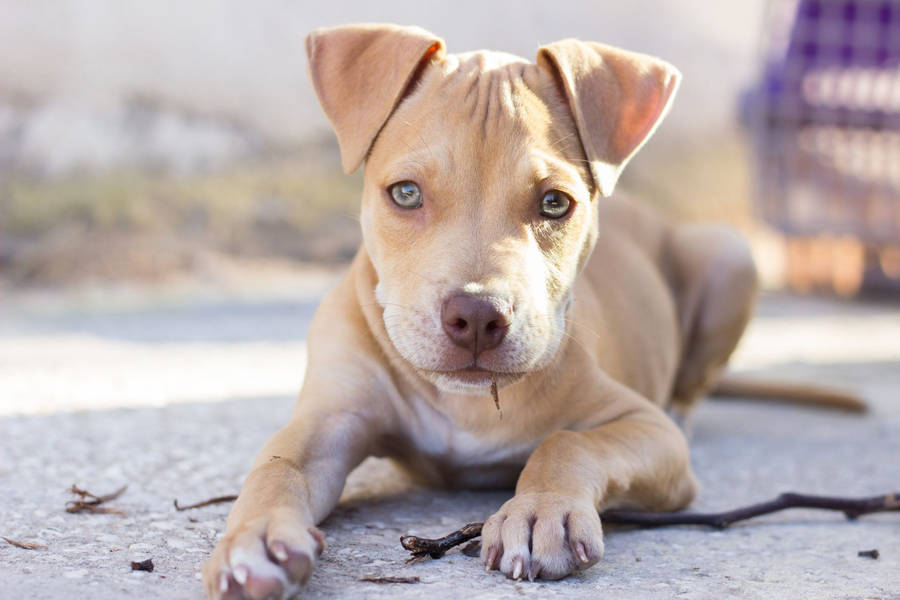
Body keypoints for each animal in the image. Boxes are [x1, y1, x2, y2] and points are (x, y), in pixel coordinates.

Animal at [204, 23, 760, 600]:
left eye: (555, 203)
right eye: (406, 193)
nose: (475, 317)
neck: (463, 404)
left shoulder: (647, 430)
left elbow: (568, 442)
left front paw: (541, 512)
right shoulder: (329, 419)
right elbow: (276, 466)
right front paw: (255, 538)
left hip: (730, 255)